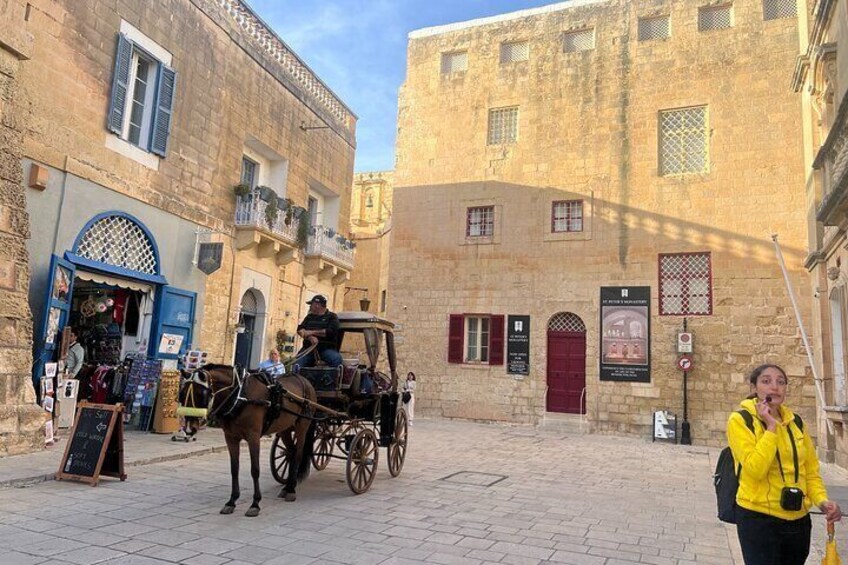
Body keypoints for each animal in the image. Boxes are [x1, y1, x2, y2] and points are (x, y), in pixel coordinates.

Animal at [194, 366, 320, 516]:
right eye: (182, 391)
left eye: (201, 393)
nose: (192, 426)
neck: (241, 395)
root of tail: (305, 381)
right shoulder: (230, 438)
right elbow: (234, 469)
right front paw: (231, 501)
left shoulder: (253, 437)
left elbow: (255, 470)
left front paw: (255, 503)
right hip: (285, 427)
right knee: (291, 451)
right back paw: (288, 486)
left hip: (302, 425)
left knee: (298, 454)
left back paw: (291, 490)